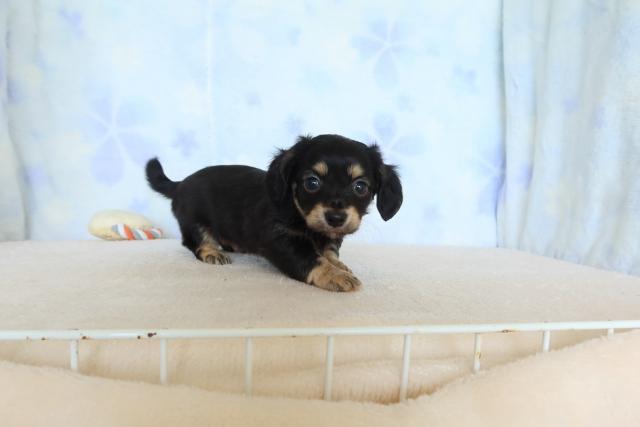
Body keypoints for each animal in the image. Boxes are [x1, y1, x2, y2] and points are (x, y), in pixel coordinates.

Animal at [145, 134, 402, 292]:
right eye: (312, 182)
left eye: (360, 187)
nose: (336, 218)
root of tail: (180, 184)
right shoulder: (282, 240)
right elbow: (312, 259)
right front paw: (336, 276)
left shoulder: (329, 238)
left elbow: (329, 253)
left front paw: (339, 266)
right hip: (194, 222)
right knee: (194, 242)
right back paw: (211, 252)